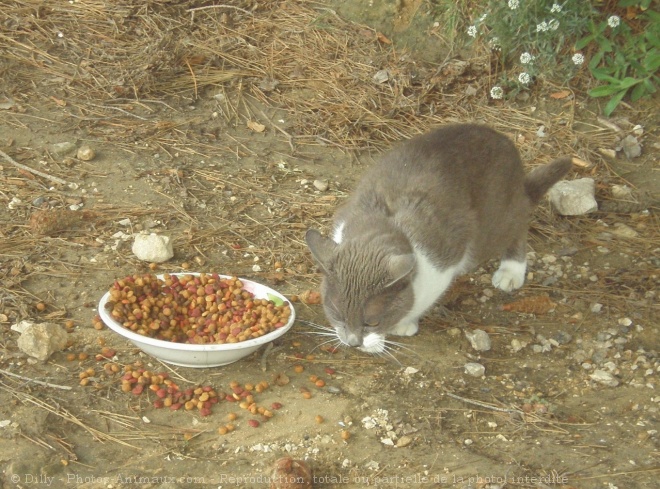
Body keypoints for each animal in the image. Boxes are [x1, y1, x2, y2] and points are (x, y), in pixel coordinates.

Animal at [306, 122, 568, 352]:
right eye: (338, 315)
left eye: (372, 322)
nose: (353, 342)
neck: (380, 226)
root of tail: (503, 139)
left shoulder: (441, 263)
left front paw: (400, 326)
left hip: (499, 219)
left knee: (519, 226)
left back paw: (511, 272)